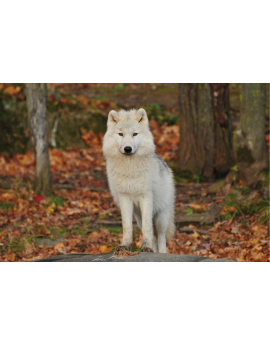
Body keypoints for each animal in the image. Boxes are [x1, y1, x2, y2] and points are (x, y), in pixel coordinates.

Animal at [102, 107, 176, 253]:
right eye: (120, 134)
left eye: (135, 134)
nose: (128, 149)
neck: (130, 168)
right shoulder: (124, 197)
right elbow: (127, 226)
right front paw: (125, 246)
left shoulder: (145, 197)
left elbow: (148, 228)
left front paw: (146, 247)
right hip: (139, 217)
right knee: (154, 237)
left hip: (161, 217)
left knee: (161, 238)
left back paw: (160, 253)